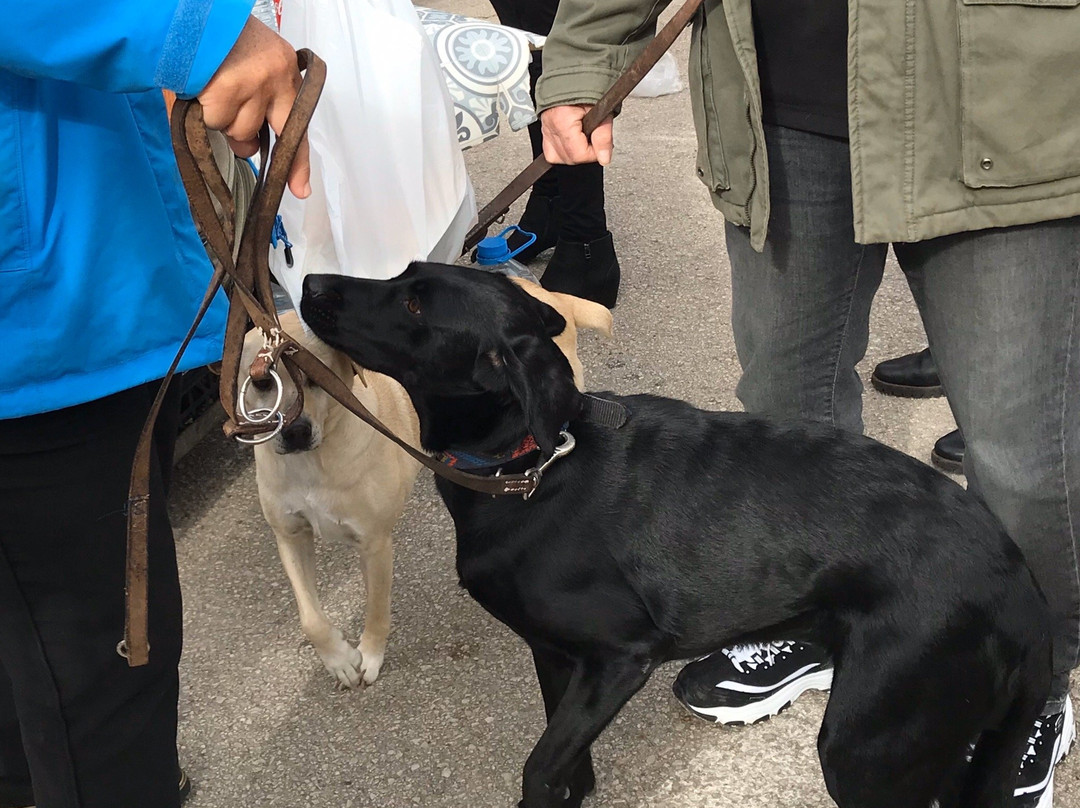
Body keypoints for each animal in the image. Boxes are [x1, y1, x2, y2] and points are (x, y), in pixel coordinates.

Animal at [245, 283, 613, 687]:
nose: (295, 431)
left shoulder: (374, 544)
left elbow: (377, 609)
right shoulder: (290, 535)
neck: (314, 461)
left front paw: (369, 655)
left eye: (318, 377)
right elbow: (310, 620)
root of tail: (541, 291)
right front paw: (338, 659)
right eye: (262, 382)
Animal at [300, 264, 1049, 808]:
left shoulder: (620, 658)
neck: (534, 468)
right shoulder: (557, 657)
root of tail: (1020, 582)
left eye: (415, 304)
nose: (308, 283)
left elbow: (540, 770)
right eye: (403, 276)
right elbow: (568, 767)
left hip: (868, 744)